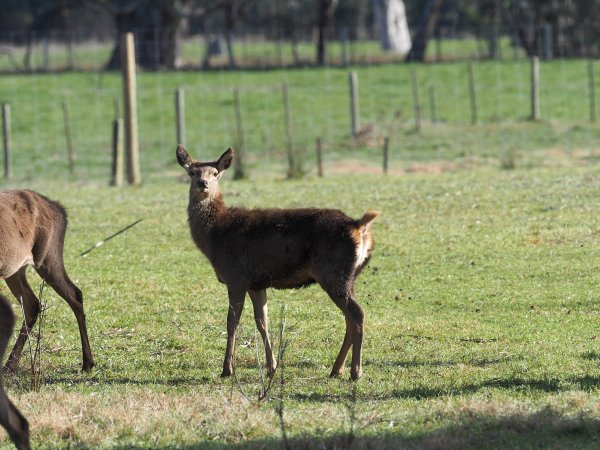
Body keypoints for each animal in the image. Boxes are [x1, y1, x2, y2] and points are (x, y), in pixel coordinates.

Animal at [0, 190, 94, 372]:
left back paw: (88, 363)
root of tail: (61, 210)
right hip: (15, 268)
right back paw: (10, 364)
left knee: (75, 294)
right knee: (32, 303)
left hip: (48, 256)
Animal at [176, 148, 380, 380]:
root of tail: (359, 227)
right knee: (349, 318)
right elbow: (262, 322)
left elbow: (231, 322)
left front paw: (227, 369)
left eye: (215, 173)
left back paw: (355, 371)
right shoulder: (256, 283)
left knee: (357, 314)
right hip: (349, 276)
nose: (203, 183)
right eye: (192, 172)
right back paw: (336, 369)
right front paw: (272, 367)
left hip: (333, 272)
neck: (215, 237)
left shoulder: (236, 276)